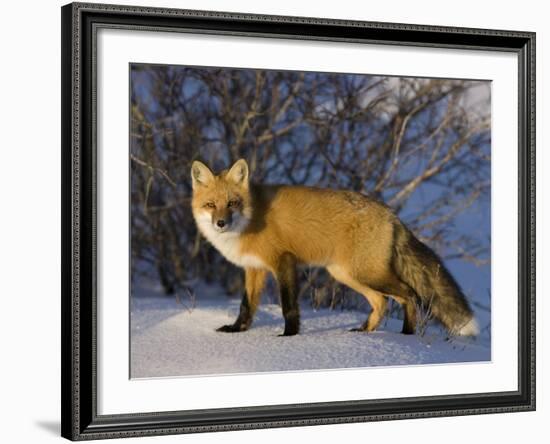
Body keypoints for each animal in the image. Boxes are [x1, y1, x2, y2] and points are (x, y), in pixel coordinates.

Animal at [192, 160, 480, 336]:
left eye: (232, 203)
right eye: (211, 205)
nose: (220, 223)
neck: (250, 219)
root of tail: (392, 214)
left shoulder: (283, 261)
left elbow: (288, 306)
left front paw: (288, 336)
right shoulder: (255, 269)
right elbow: (246, 306)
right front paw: (236, 330)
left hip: (365, 274)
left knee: (408, 295)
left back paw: (406, 335)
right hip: (347, 274)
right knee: (382, 302)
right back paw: (365, 332)